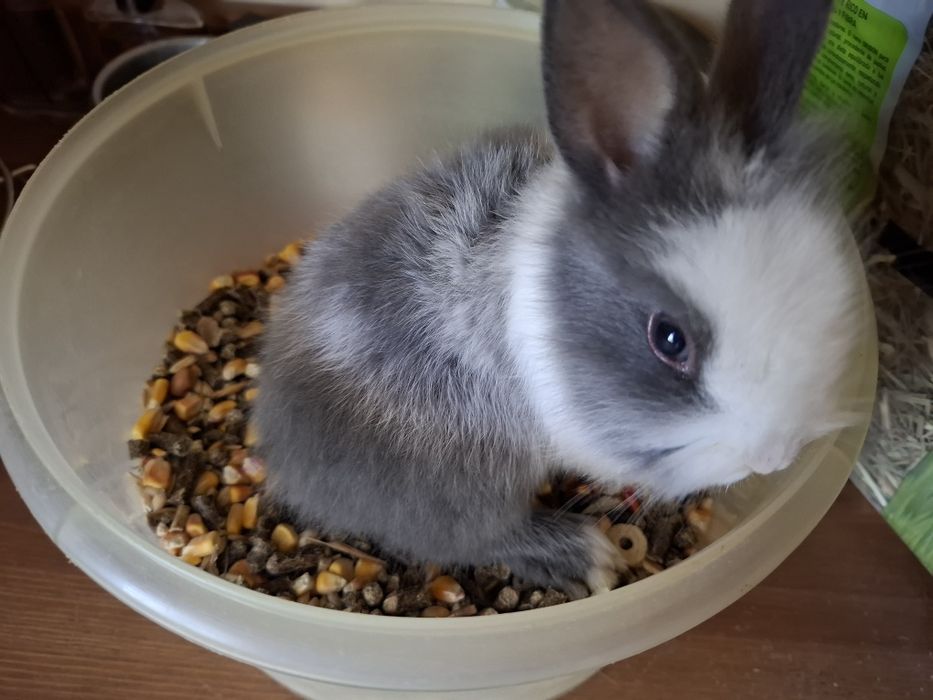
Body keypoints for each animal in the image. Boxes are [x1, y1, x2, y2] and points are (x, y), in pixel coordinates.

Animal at [255, 0, 861, 591]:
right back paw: (581, 555)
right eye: (669, 339)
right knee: (469, 536)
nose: (772, 458)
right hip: (465, 478)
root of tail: (279, 453)